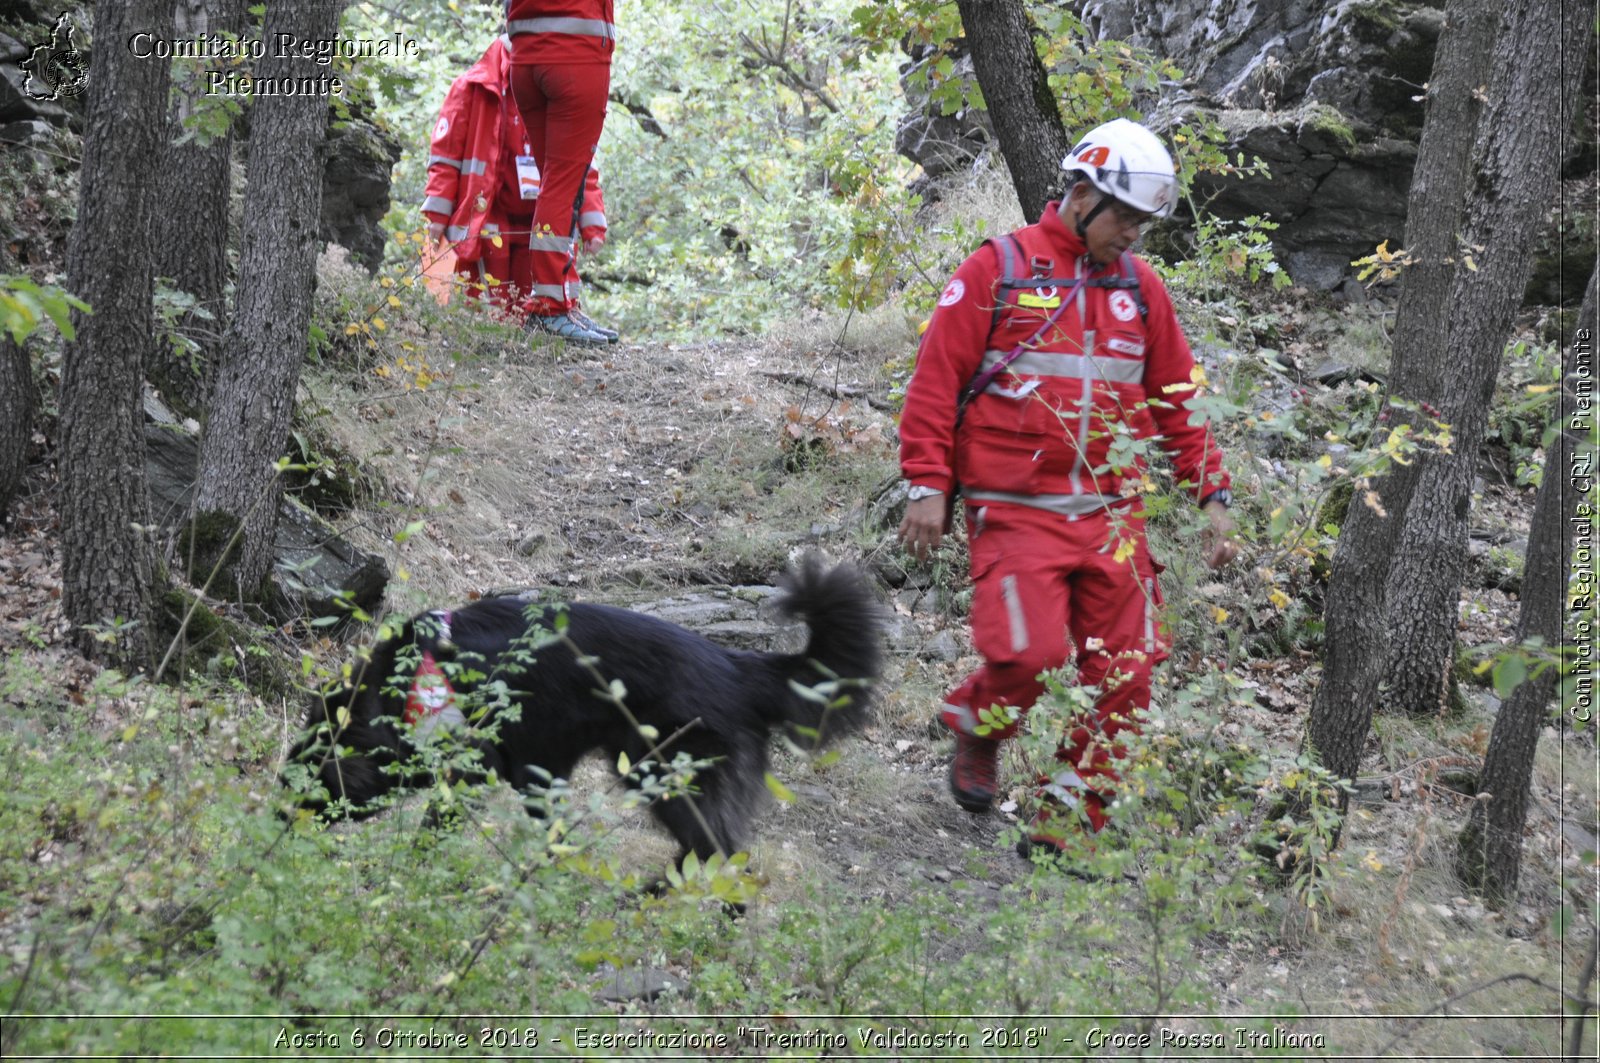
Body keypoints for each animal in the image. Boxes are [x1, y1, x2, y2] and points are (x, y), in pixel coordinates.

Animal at [289, 557, 889, 864]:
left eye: (303, 781)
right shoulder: (539, 767)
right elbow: (545, 822)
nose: (279, 824)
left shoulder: (477, 765)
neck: (407, 679)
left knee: (717, 848)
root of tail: (742, 668)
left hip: (664, 776)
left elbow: (437, 821)